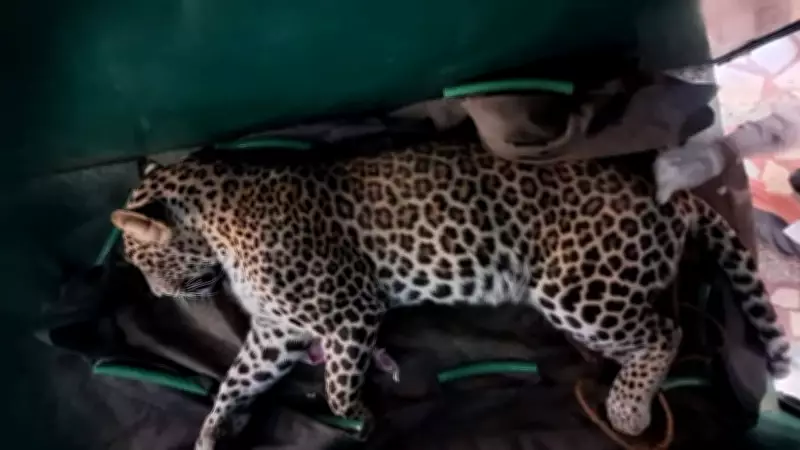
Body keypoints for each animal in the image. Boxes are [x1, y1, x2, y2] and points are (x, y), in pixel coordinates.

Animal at [110, 140, 791, 450]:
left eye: (138, 259)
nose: (158, 294)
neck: (220, 218)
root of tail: (671, 197)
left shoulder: (349, 310)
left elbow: (336, 385)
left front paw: (360, 416)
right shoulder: (278, 331)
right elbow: (237, 377)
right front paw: (212, 431)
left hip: (575, 288)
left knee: (664, 332)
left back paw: (627, 409)